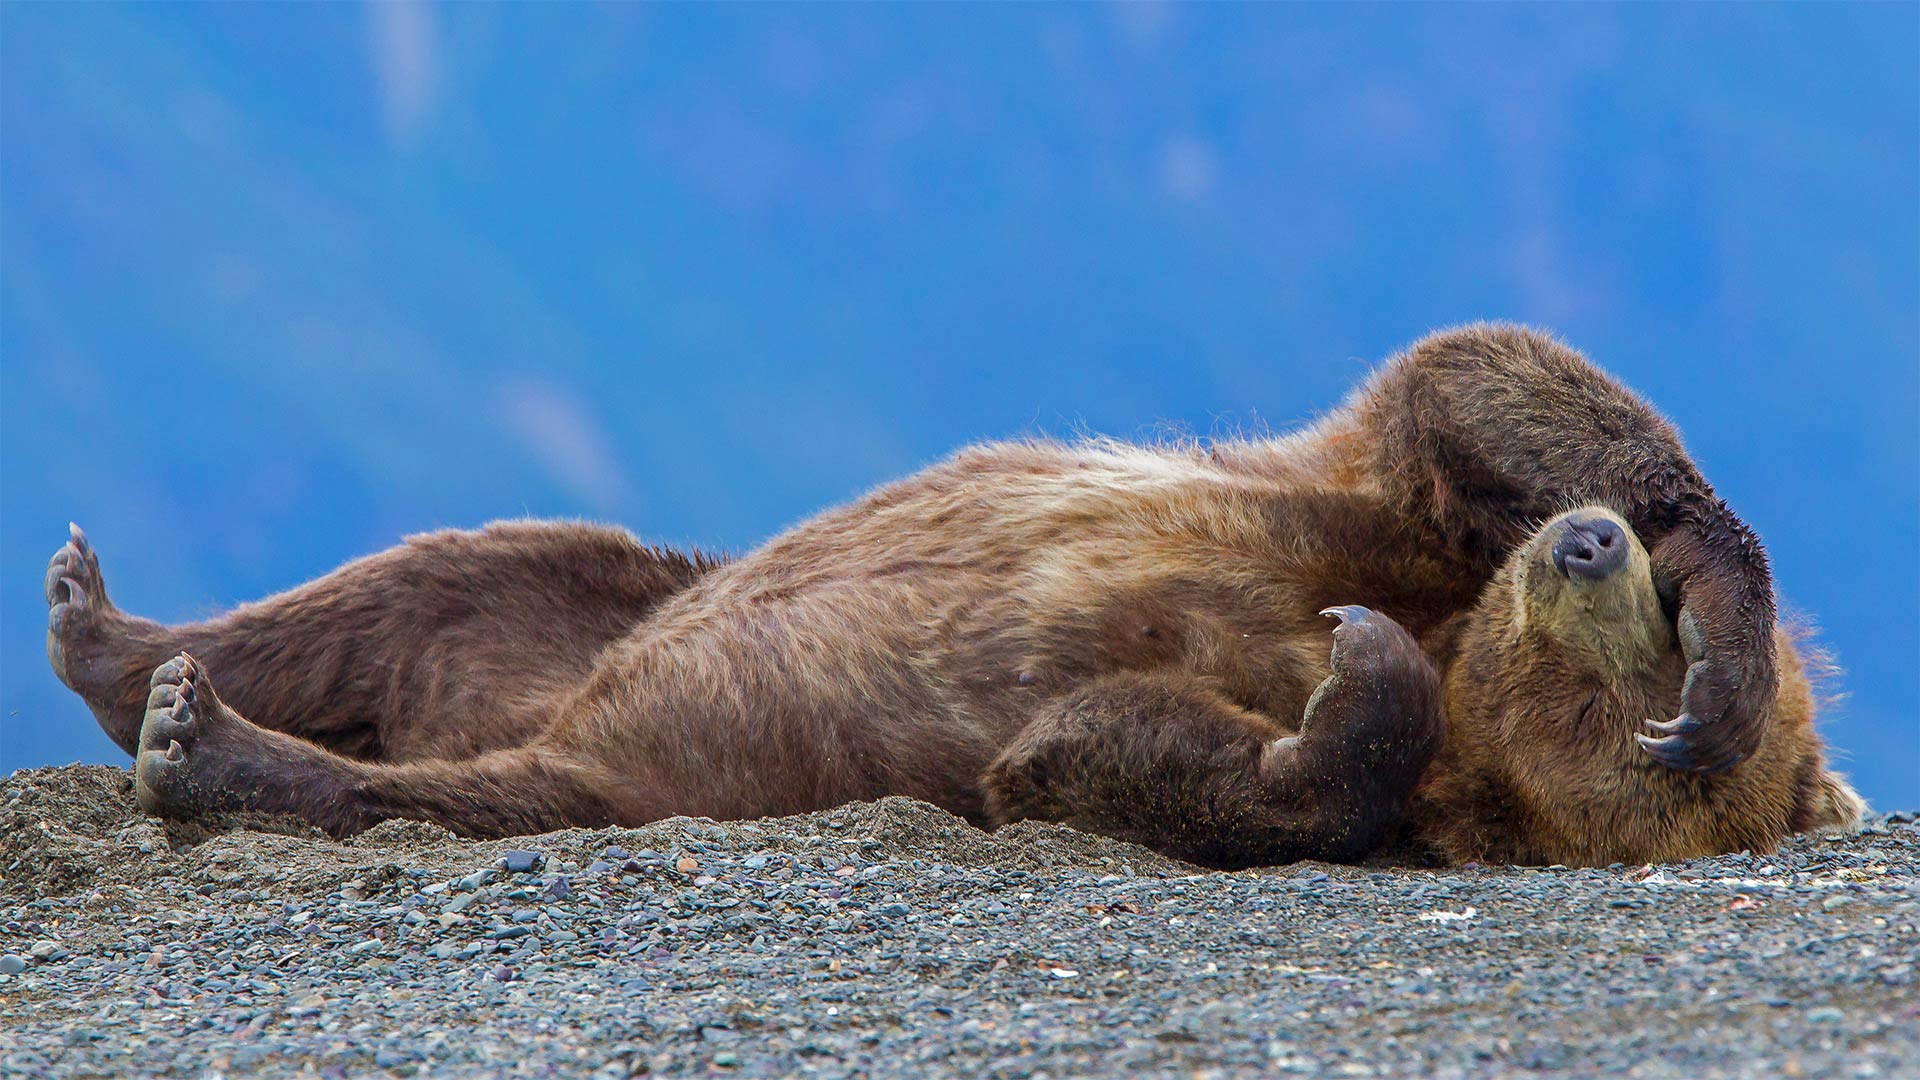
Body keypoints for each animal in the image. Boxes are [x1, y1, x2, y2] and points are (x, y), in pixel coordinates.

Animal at [45, 320, 1858, 864]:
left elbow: (1097, 753)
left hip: (653, 763)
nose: (1590, 556)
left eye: (1605, 705)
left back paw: (210, 741)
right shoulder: (1371, 508)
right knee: (452, 568)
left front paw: (1358, 702)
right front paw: (1726, 614)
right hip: (609, 601)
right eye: (1634, 667)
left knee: (485, 788)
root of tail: (565, 699)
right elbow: (1476, 384)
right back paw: (116, 628)